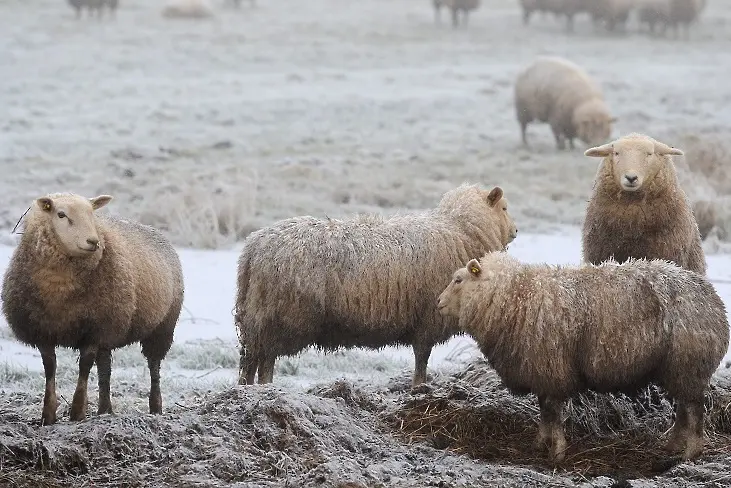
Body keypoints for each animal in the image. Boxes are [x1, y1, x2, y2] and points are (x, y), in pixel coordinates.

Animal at [1, 193, 184, 426]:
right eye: (61, 214)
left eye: (91, 213)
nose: (93, 242)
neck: (59, 288)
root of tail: (154, 229)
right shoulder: (43, 331)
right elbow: (50, 368)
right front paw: (48, 415)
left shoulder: (94, 330)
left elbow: (85, 367)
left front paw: (77, 412)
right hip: (111, 331)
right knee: (105, 369)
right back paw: (104, 410)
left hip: (161, 327)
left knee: (154, 366)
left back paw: (155, 408)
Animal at [236, 183, 520, 386]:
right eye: (505, 208)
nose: (516, 231)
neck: (459, 229)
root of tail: (253, 246)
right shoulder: (427, 320)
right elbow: (422, 360)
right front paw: (419, 389)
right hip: (278, 319)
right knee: (266, 362)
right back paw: (267, 389)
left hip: (254, 319)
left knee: (249, 361)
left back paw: (246, 390)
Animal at [438, 254, 728, 464]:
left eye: (458, 280)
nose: (438, 302)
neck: (516, 297)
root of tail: (714, 299)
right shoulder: (542, 372)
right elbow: (544, 412)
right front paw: (540, 443)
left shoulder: (551, 369)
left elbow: (553, 414)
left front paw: (556, 453)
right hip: (679, 369)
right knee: (683, 410)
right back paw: (673, 446)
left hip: (689, 364)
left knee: (695, 411)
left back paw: (691, 452)